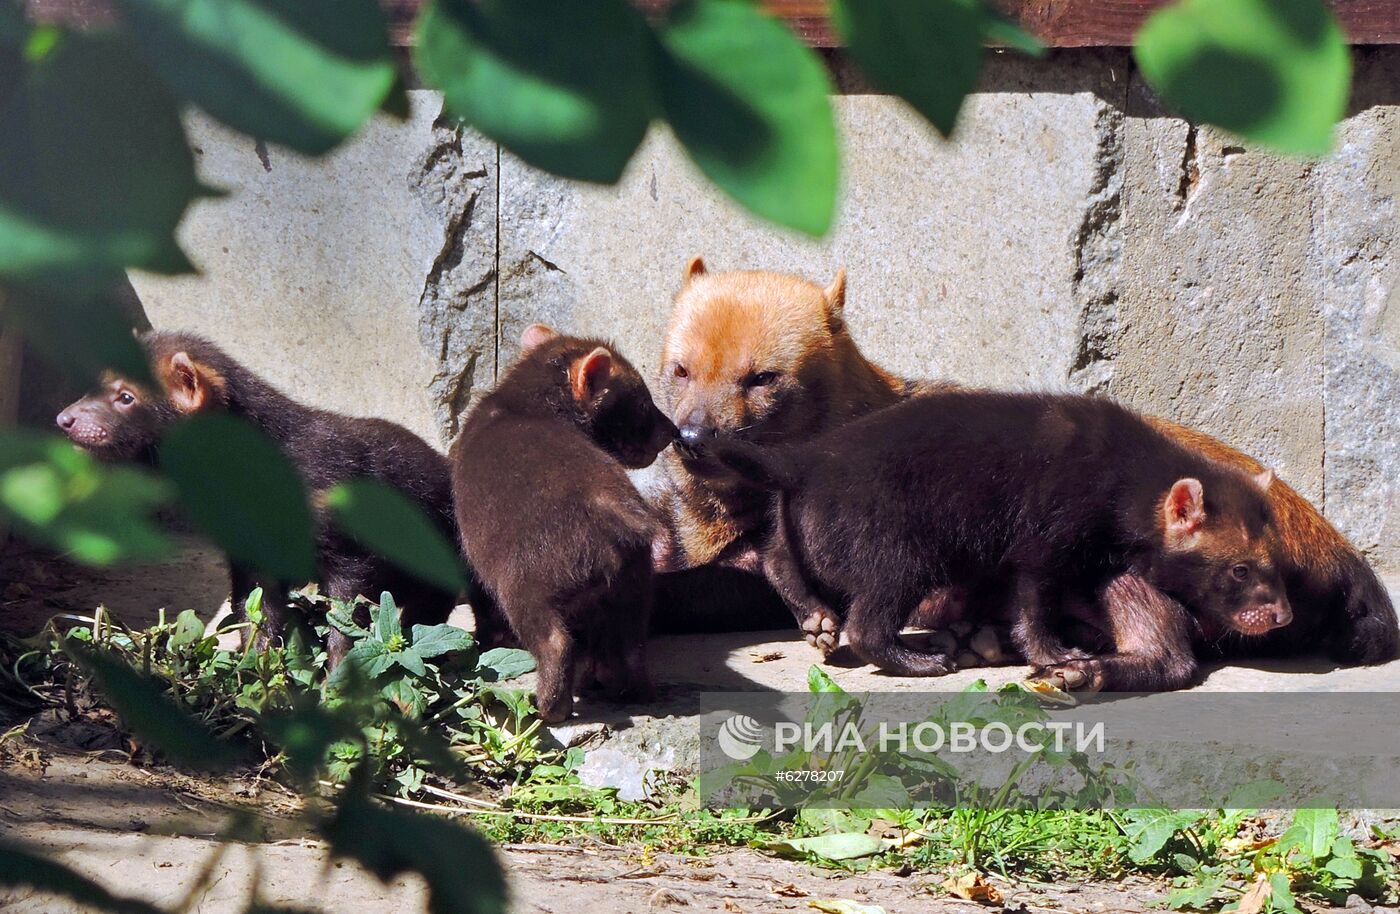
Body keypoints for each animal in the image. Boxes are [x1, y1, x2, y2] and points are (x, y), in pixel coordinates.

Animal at [57, 330, 456, 663]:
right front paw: (252, 666)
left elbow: (347, 620)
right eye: (96, 382)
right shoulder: (250, 552)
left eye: (125, 396)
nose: (64, 418)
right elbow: (257, 614)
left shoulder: (348, 547)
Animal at [450, 324, 674, 722]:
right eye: (643, 403)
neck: (522, 402)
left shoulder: (471, 556)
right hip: (634, 589)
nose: (673, 432)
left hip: (524, 588)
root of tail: (618, 517)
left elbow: (483, 609)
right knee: (631, 647)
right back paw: (628, 689)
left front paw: (486, 642)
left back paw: (548, 707)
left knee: (555, 644)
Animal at [716, 386, 1293, 691]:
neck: (1122, 469)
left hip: (801, 527)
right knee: (866, 625)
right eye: (1240, 567)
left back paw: (818, 620)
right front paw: (1054, 655)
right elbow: (1033, 608)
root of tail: (807, 458)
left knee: (778, 560)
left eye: (1277, 558)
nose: (1282, 615)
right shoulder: (1046, 538)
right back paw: (921, 660)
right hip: (899, 556)